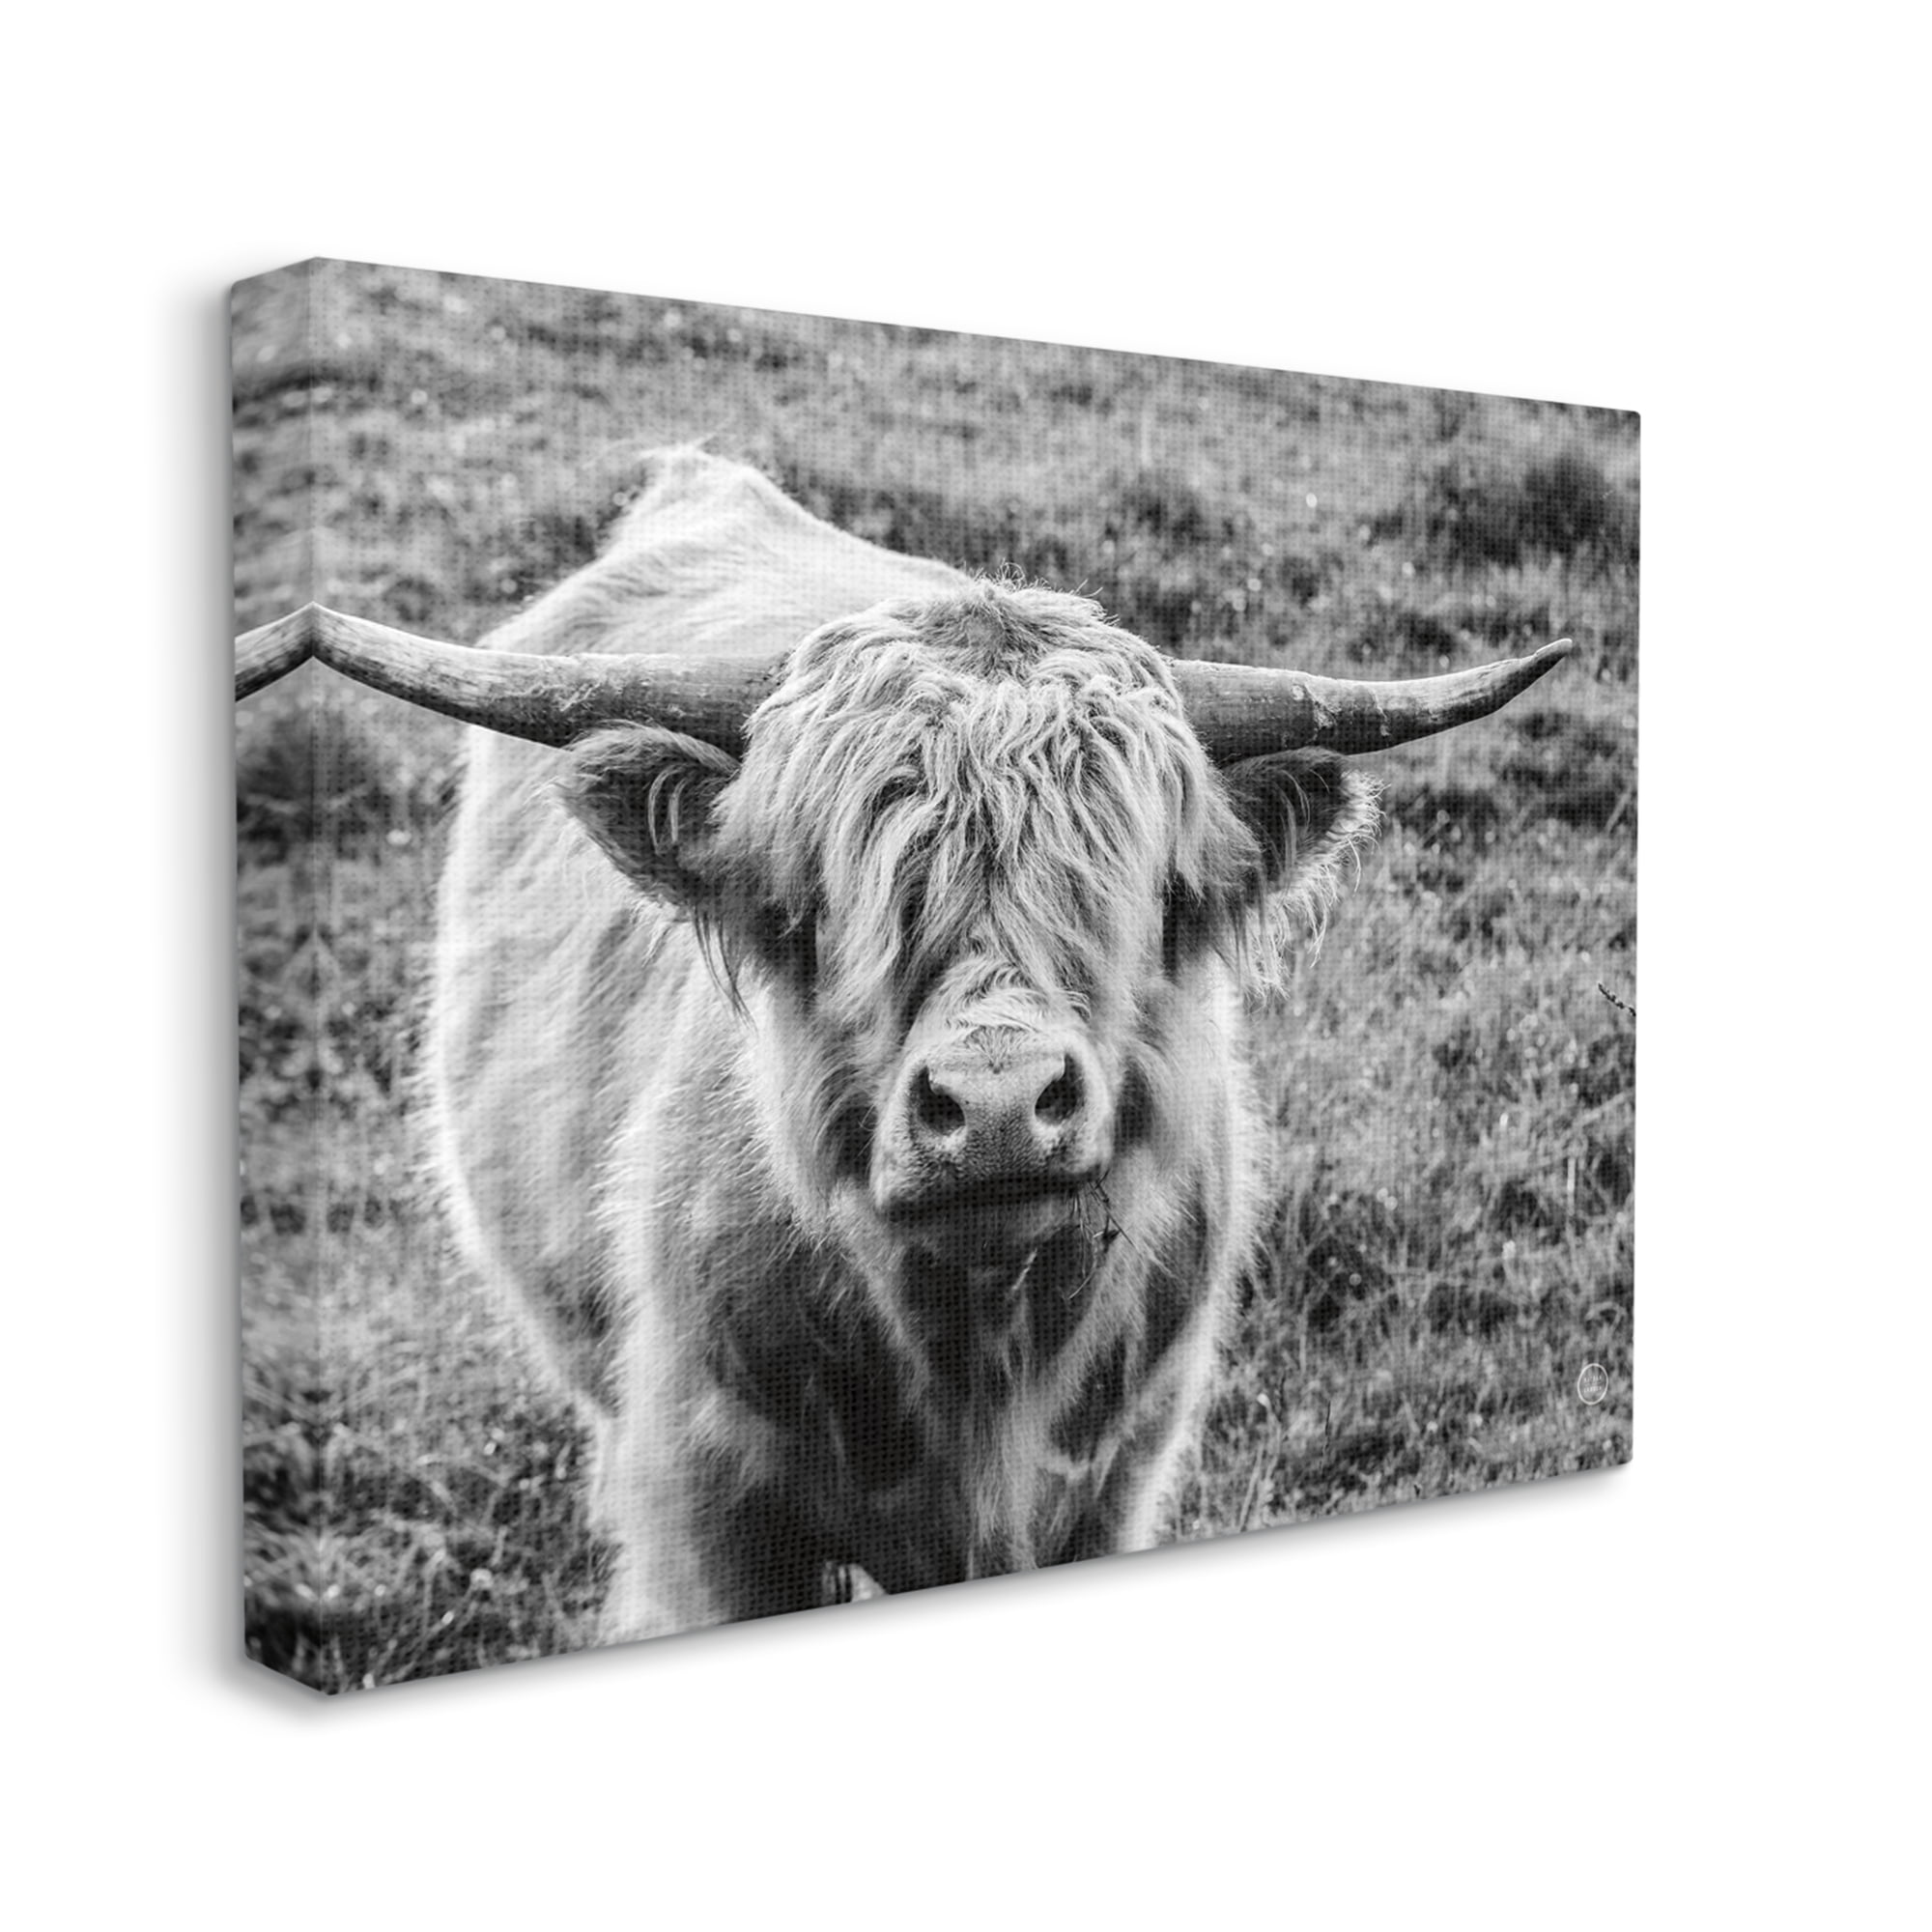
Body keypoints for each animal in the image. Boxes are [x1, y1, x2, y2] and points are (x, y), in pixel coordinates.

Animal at [235, 447, 1570, 1643]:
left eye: (1136, 890)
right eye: (833, 897)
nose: (996, 1105)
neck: (974, 1359)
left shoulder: (1118, 1475)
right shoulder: (711, 1508)